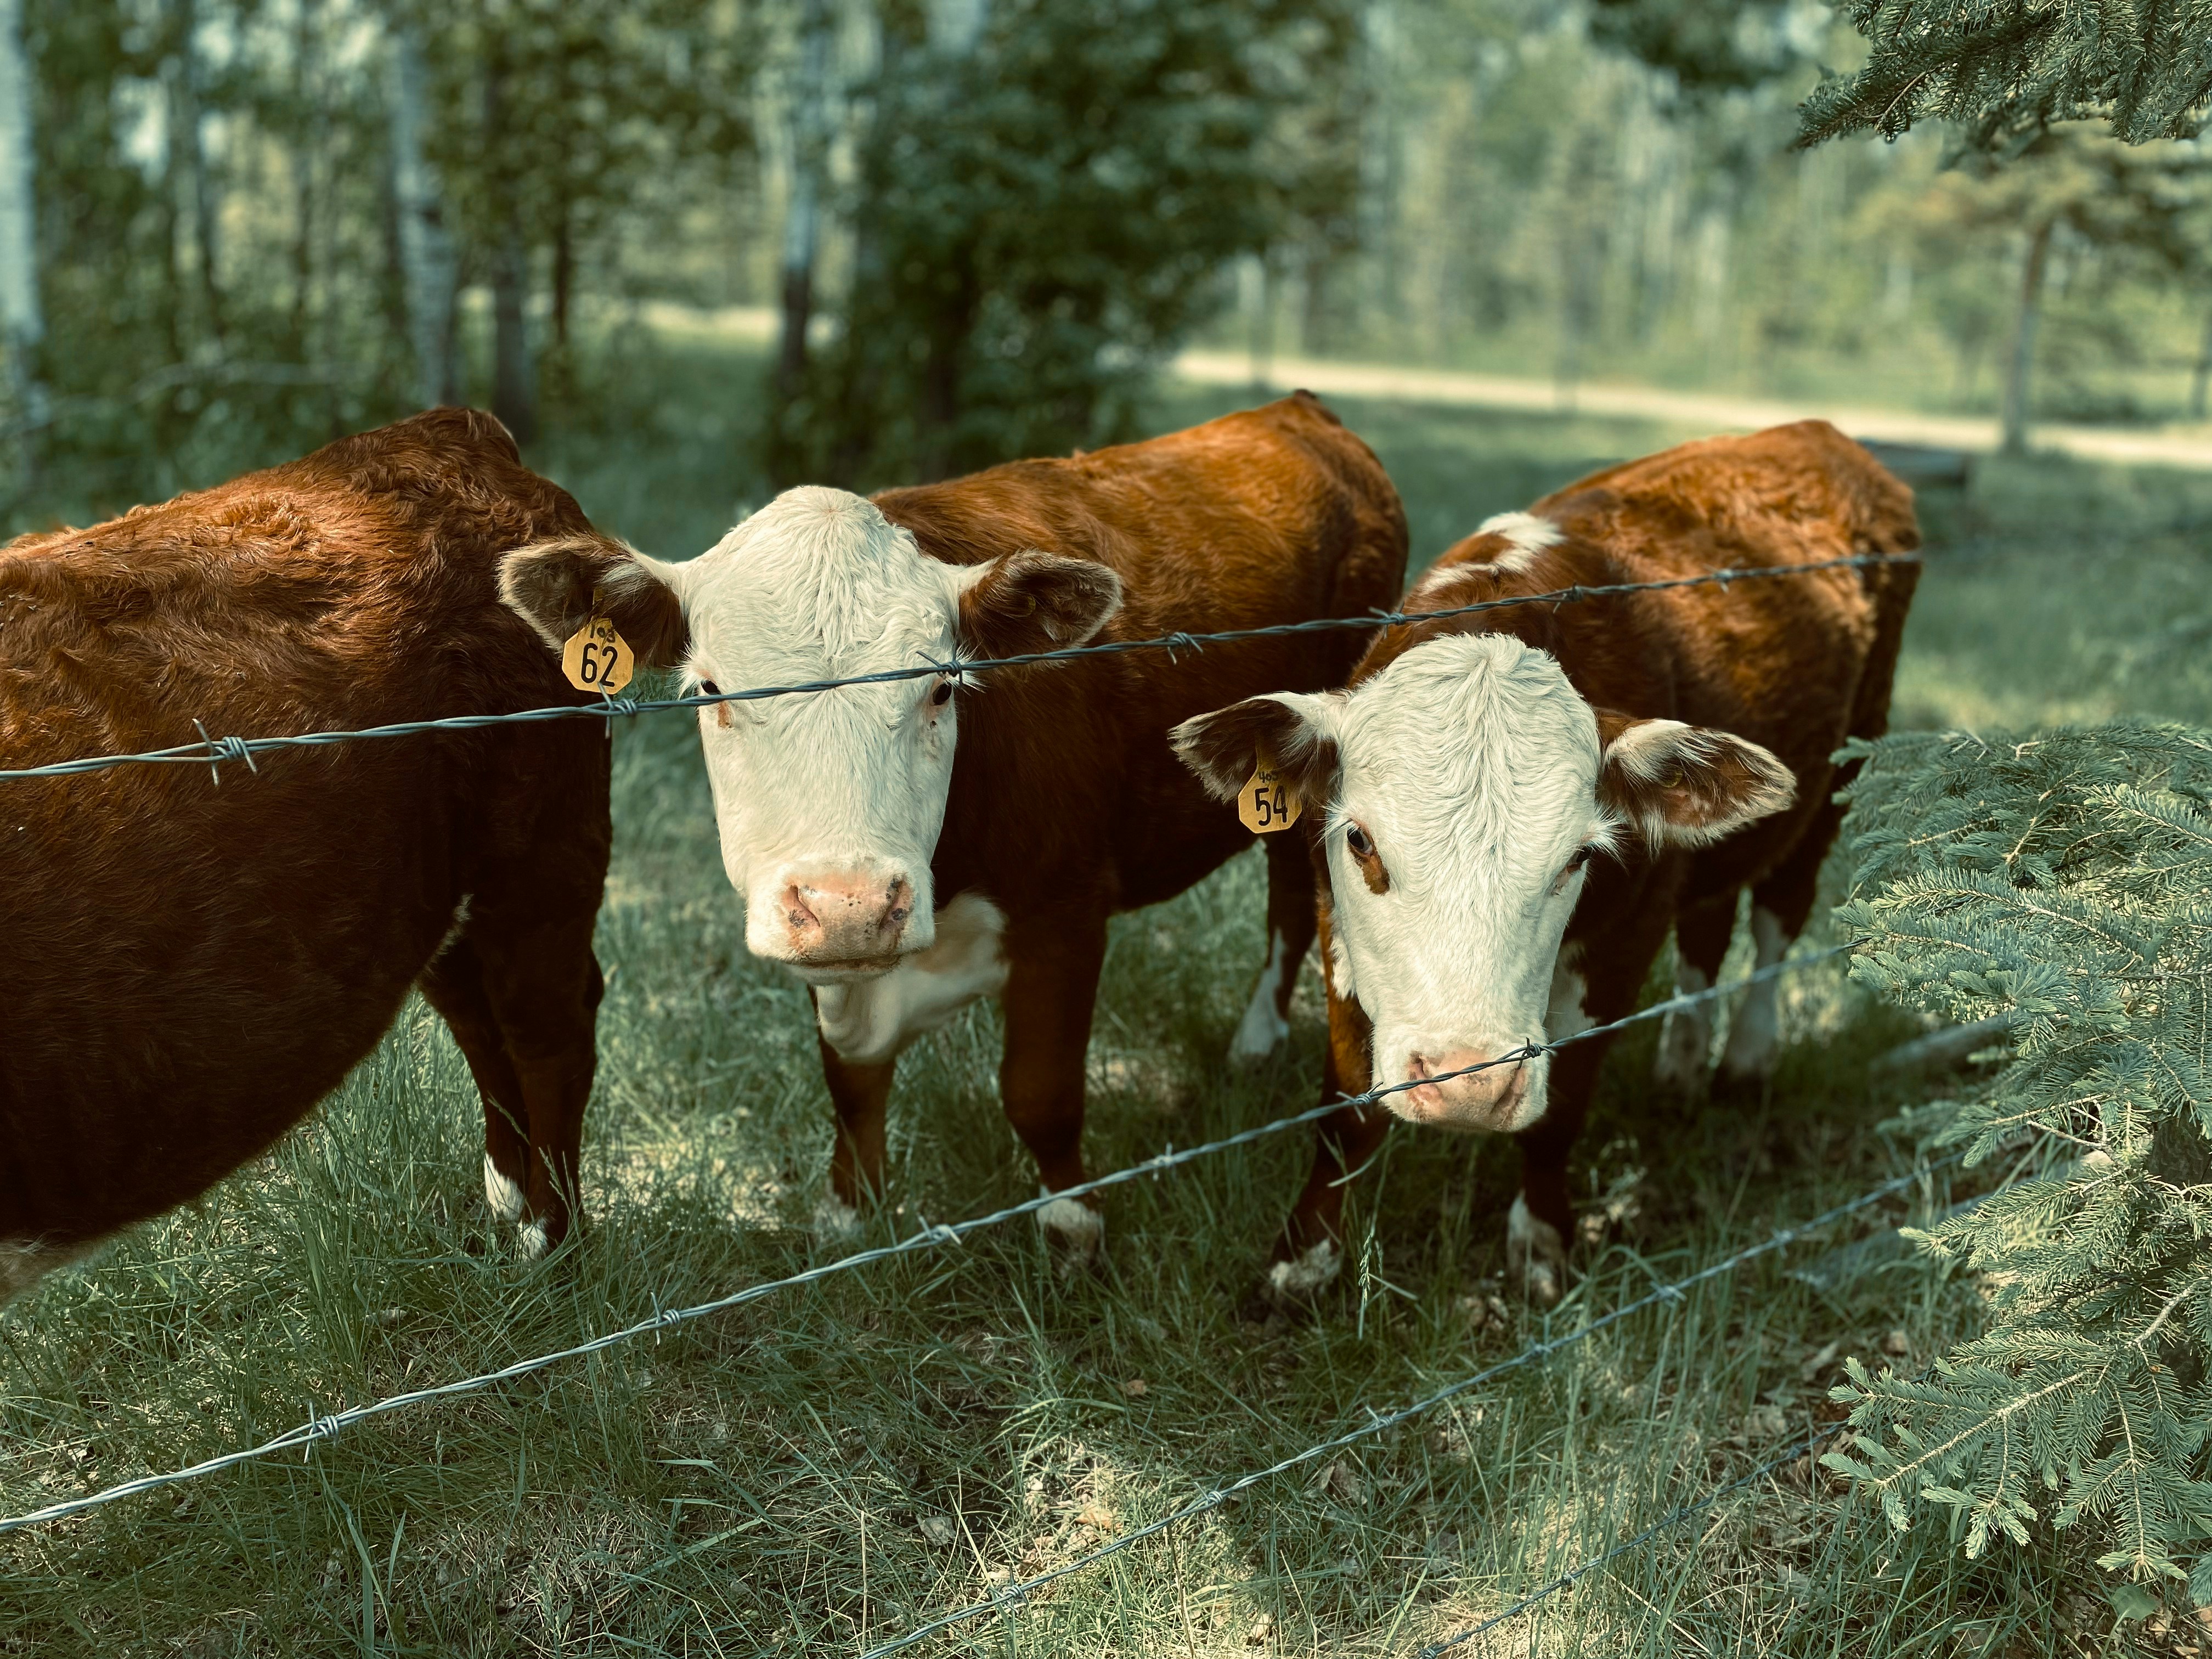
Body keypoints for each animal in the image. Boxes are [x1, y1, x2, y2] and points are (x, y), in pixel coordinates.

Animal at [0, 408, 626, 1297]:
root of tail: (441, 429)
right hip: (429, 888)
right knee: (481, 1019)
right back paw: (507, 1202)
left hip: (543, 856)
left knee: (549, 1031)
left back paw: (550, 1245)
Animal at [500, 394, 1407, 1258]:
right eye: (713, 691)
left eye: (941, 686)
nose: (851, 904)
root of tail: (1294, 411)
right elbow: (851, 1079)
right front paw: (849, 1212)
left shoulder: (1066, 910)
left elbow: (1040, 1093)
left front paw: (1073, 1228)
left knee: (1292, 900)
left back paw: (1256, 1038)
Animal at [1172, 420, 1920, 1305]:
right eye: (1361, 841)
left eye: (1578, 857)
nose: (1467, 1081)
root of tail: (1819, 434)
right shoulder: (1337, 923)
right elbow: (1347, 1102)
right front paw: (1303, 1259)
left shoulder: (1628, 934)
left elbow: (1564, 1107)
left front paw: (1541, 1242)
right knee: (1711, 926)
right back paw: (1682, 1066)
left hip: (1841, 775)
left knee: (1778, 916)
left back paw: (1744, 1061)